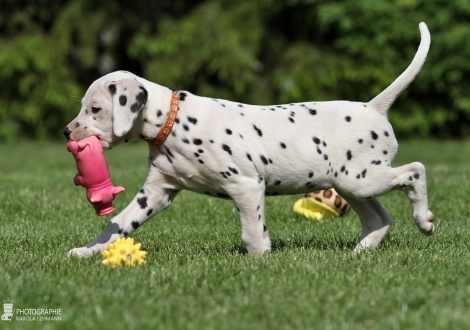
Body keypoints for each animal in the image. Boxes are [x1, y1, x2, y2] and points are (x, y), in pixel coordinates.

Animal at [65, 23, 434, 256]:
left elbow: (252, 231)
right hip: (350, 184)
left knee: (415, 170)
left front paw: (260, 260)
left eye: (95, 109)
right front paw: (88, 251)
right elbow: (118, 224)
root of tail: (373, 107)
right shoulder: (156, 192)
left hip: (362, 179)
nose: (67, 132)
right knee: (379, 219)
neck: (175, 121)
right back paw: (359, 252)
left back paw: (424, 219)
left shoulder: (246, 185)